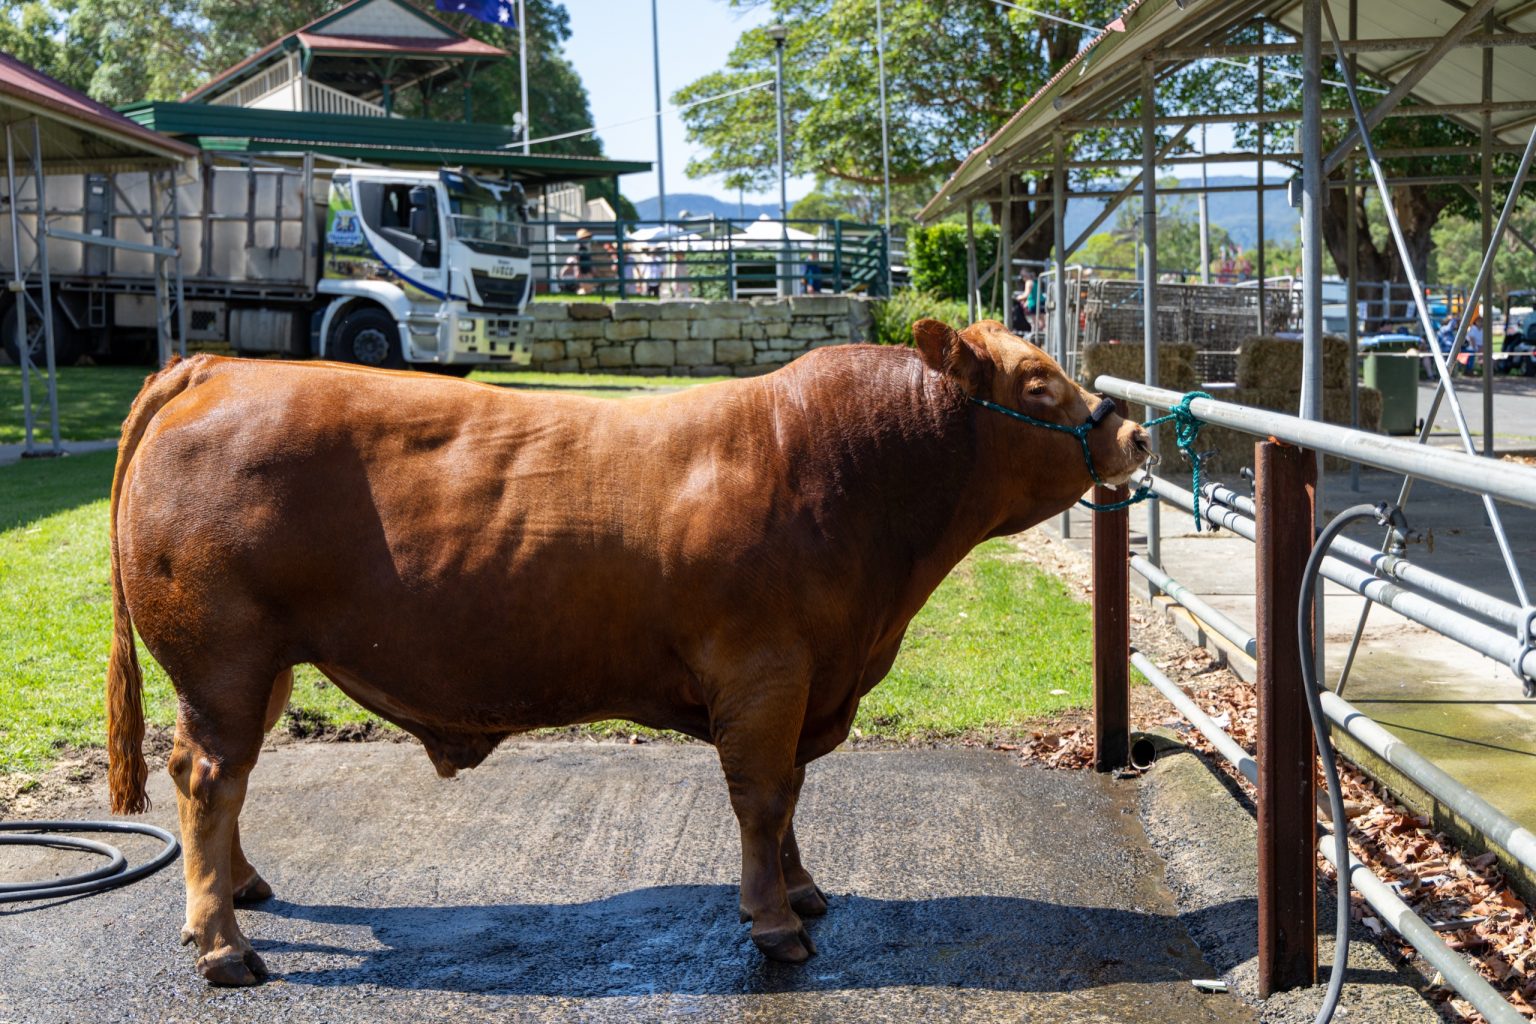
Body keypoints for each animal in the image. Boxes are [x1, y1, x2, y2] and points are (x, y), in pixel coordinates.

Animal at [105, 318, 1151, 986]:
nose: (1138, 433)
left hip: (266, 665)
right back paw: (221, 943)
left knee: (222, 776)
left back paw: (239, 891)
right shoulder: (766, 673)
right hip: (224, 656)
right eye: (1037, 384)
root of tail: (221, 367)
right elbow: (762, 796)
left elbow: (790, 798)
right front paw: (774, 923)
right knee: (209, 775)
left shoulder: (806, 681)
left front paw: (803, 891)